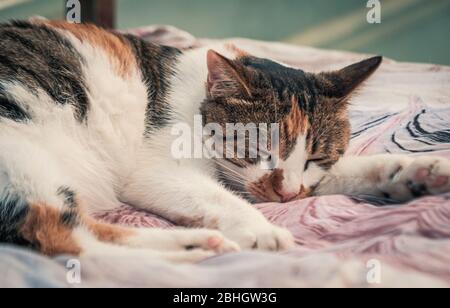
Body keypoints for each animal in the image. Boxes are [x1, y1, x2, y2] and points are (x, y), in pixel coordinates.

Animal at [0, 20, 450, 262]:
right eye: (259, 151)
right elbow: (218, 195)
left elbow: (353, 170)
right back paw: (197, 247)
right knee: (64, 236)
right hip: (25, 155)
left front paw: (420, 170)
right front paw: (263, 229)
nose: (286, 195)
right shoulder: (156, 170)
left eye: (315, 157)